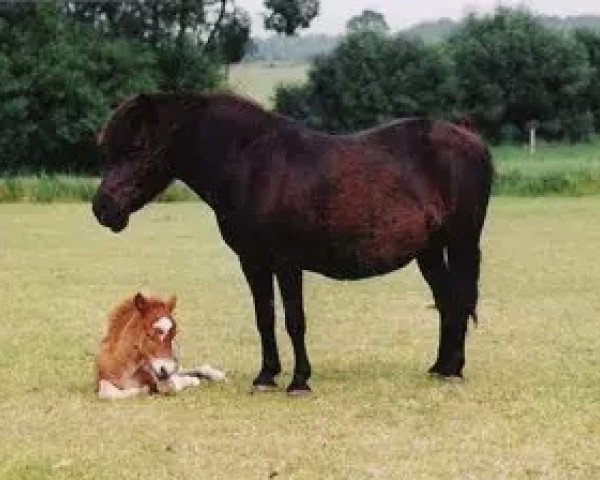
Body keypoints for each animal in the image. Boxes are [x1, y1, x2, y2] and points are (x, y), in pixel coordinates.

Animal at [96, 292, 225, 402]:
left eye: (174, 334)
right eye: (149, 334)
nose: (166, 369)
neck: (126, 368)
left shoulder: (161, 376)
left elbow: (168, 386)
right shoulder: (102, 380)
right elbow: (106, 393)